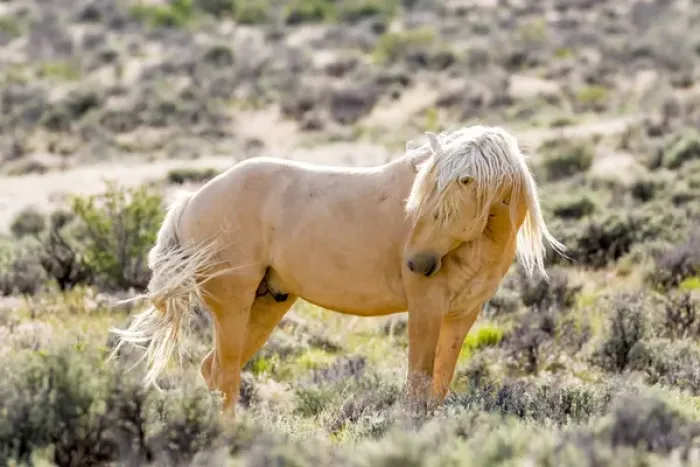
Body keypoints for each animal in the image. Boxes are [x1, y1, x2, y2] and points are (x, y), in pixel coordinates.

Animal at [110, 124, 567, 418]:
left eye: (443, 207)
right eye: (420, 202)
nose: (416, 263)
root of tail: (192, 199)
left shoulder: (461, 315)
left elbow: (439, 382)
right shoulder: (426, 309)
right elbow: (418, 383)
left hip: (266, 305)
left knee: (216, 369)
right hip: (233, 306)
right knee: (224, 374)